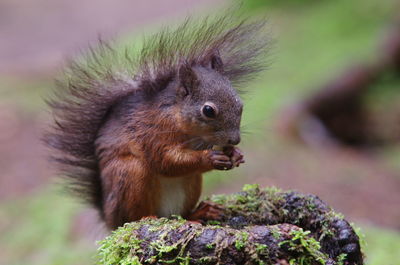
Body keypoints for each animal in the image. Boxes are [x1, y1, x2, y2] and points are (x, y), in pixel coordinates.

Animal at [45, 13, 270, 228]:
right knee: (132, 216)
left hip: (192, 182)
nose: (234, 140)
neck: (178, 118)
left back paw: (200, 213)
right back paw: (148, 218)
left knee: (182, 212)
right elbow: (165, 160)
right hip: (130, 173)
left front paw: (236, 155)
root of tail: (108, 218)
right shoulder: (151, 131)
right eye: (208, 110)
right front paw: (210, 158)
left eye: (240, 103)